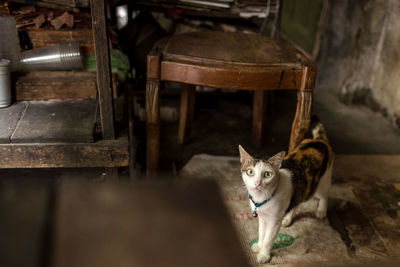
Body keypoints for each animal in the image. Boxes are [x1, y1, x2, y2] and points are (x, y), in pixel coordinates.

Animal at [239, 116, 332, 264]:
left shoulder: (274, 221)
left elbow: (268, 238)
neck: (262, 197)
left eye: (267, 174)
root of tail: (319, 141)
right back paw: (288, 218)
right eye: (250, 172)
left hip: (322, 181)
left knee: (324, 195)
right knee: (297, 199)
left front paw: (264, 254)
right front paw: (259, 245)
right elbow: (261, 232)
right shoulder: (263, 217)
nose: (257, 183)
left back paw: (321, 211)